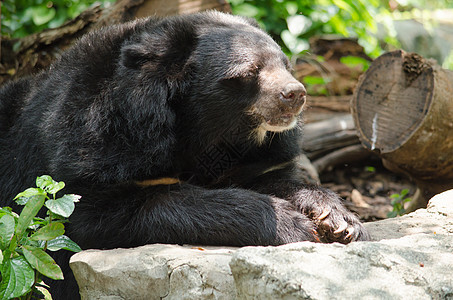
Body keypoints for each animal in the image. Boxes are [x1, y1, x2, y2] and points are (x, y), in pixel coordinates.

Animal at [0, 10, 368, 298]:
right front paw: (292, 225)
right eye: (250, 71)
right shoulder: (95, 145)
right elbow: (103, 212)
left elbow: (272, 179)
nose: (295, 94)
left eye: (286, 64)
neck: (210, 134)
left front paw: (338, 221)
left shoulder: (248, 160)